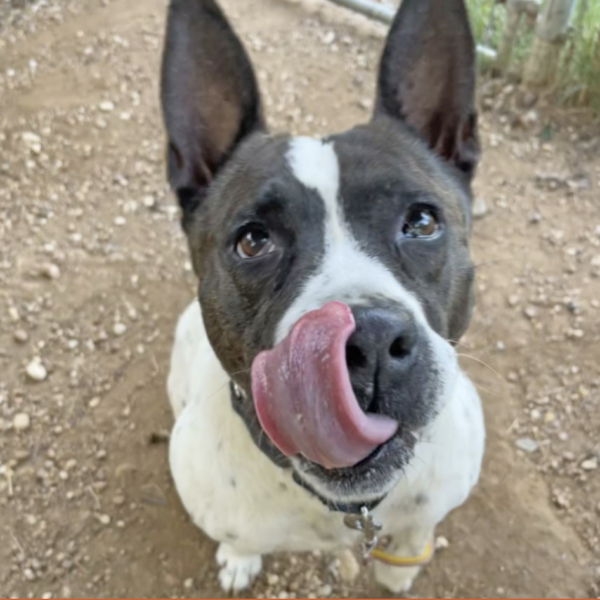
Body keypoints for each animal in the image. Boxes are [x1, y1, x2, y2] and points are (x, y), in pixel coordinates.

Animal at [162, 0, 486, 592]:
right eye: (253, 241)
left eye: (422, 222)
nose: (372, 340)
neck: (349, 507)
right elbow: (238, 537)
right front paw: (238, 558)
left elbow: (418, 526)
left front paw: (404, 563)